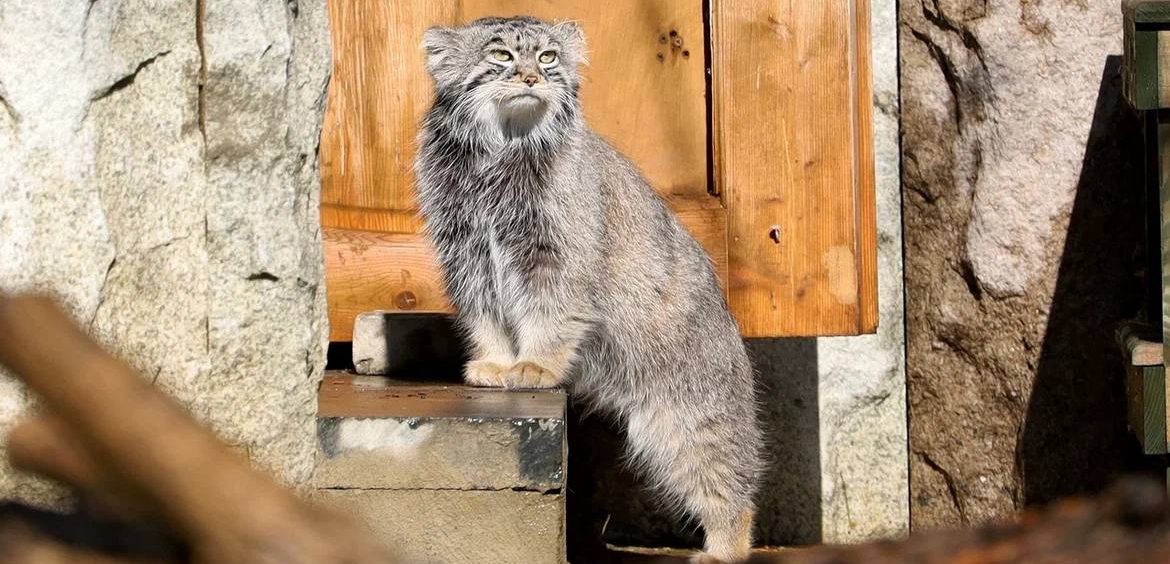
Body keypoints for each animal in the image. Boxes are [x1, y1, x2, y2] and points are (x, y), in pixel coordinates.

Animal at [416, 15, 762, 561]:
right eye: (500, 55)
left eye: (549, 56)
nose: (533, 77)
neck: (499, 154)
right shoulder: (468, 255)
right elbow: (485, 316)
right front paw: (495, 362)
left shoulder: (556, 257)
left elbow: (551, 315)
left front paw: (536, 365)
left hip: (689, 415)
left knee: (728, 479)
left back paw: (724, 547)